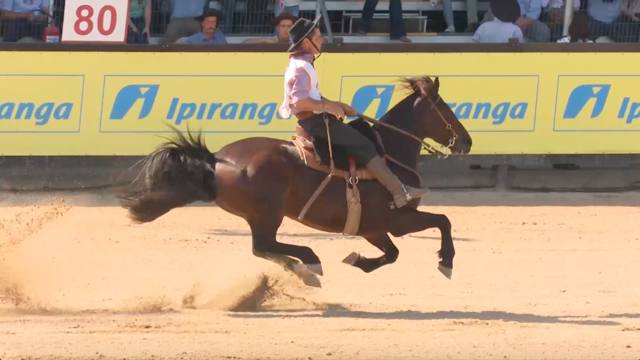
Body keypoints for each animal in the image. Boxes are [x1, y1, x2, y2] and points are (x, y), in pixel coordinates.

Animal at [117, 76, 472, 286]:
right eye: (445, 108)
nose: (466, 142)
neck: (390, 152)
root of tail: (216, 159)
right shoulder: (397, 219)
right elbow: (443, 220)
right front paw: (447, 262)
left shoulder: (372, 228)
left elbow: (392, 254)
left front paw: (357, 261)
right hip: (266, 215)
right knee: (263, 246)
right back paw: (309, 263)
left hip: (261, 217)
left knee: (263, 249)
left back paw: (303, 268)